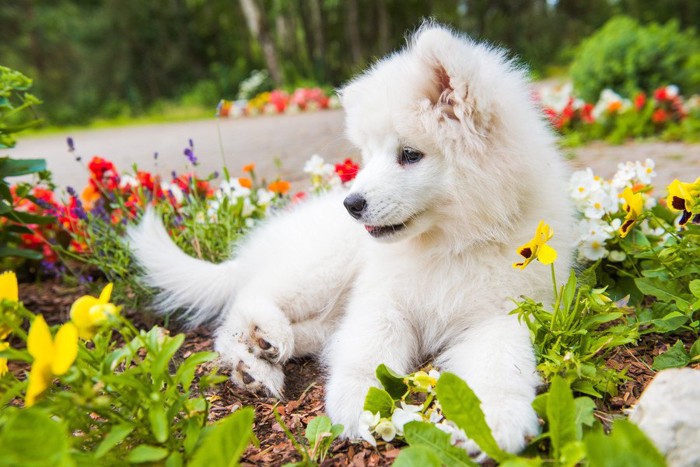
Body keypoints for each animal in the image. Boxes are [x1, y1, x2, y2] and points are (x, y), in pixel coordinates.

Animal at [130, 23, 576, 456]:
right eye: (369, 154)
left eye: (410, 154)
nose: (352, 204)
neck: (448, 244)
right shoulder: (383, 298)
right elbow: (369, 346)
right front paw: (361, 403)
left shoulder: (501, 313)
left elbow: (502, 363)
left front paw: (494, 425)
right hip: (322, 263)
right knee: (245, 304)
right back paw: (264, 344)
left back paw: (261, 357)